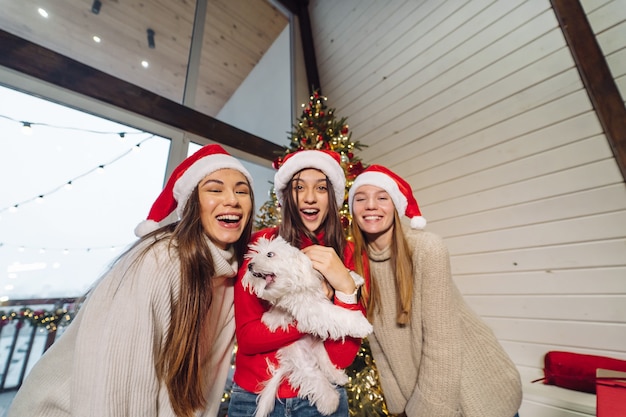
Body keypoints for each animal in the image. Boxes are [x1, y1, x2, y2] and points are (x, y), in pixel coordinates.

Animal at [241, 236, 370, 416]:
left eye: (270, 254)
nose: (250, 265)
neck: (297, 279)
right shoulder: (311, 310)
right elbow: (337, 314)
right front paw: (362, 324)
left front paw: (355, 278)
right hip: (303, 361)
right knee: (316, 379)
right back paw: (330, 402)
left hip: (320, 351)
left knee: (325, 365)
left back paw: (339, 376)